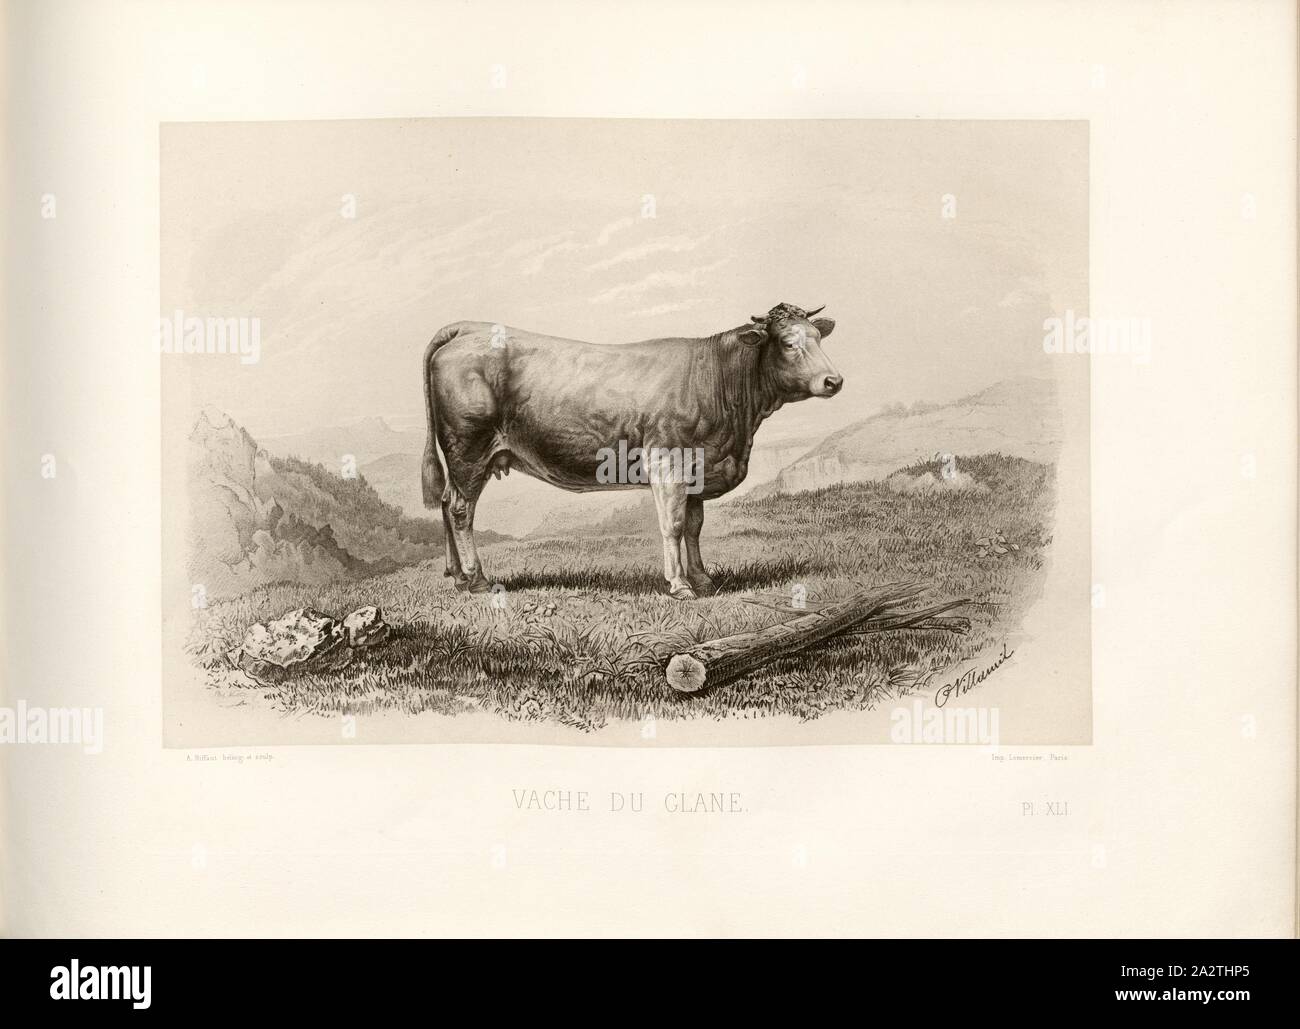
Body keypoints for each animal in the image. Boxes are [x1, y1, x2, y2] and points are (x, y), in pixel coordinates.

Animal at [421, 302, 843, 600]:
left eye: (818, 339)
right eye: (788, 343)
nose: (833, 381)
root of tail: (468, 328)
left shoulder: (698, 467)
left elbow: (694, 526)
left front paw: (703, 579)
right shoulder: (668, 463)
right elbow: (673, 525)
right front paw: (680, 585)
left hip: (463, 458)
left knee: (445, 501)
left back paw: (457, 578)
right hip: (469, 449)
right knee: (460, 510)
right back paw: (477, 580)